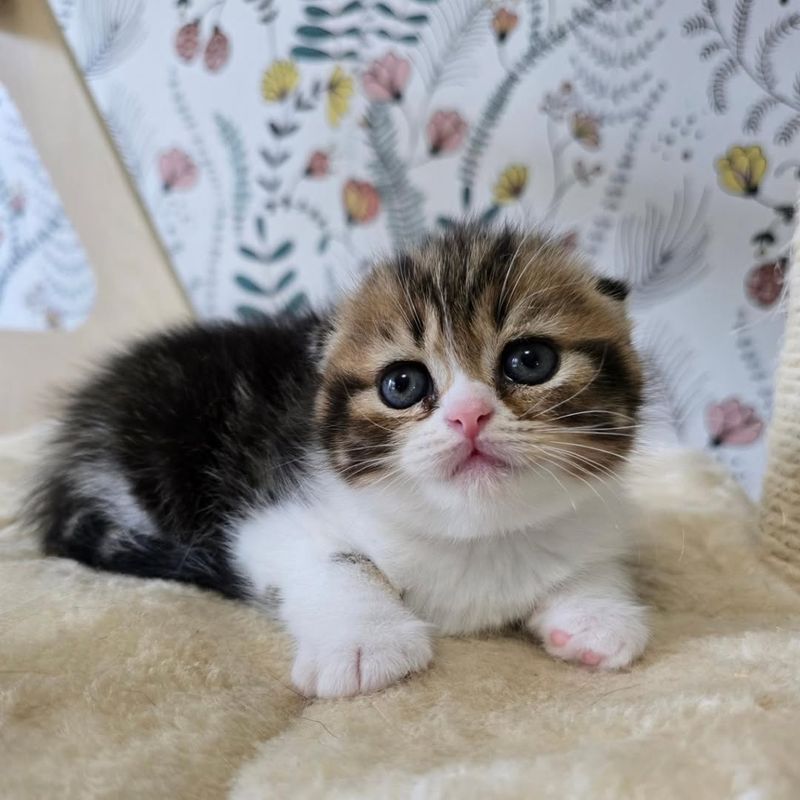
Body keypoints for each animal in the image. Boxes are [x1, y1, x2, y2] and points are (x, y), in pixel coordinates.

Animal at [26, 223, 648, 692]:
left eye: (531, 360)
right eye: (402, 384)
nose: (468, 416)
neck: (477, 536)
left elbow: (595, 559)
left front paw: (598, 615)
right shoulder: (269, 517)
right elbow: (337, 559)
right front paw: (366, 642)